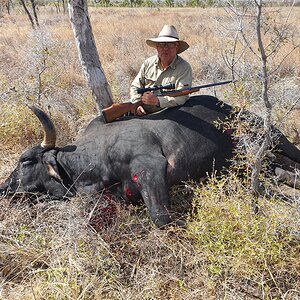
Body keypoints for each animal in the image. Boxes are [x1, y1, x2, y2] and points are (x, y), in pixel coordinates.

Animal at [0, 96, 300, 227]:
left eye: (25, 161)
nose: (4, 187)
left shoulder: (150, 167)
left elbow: (161, 218)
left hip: (275, 137)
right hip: (245, 166)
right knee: (279, 176)